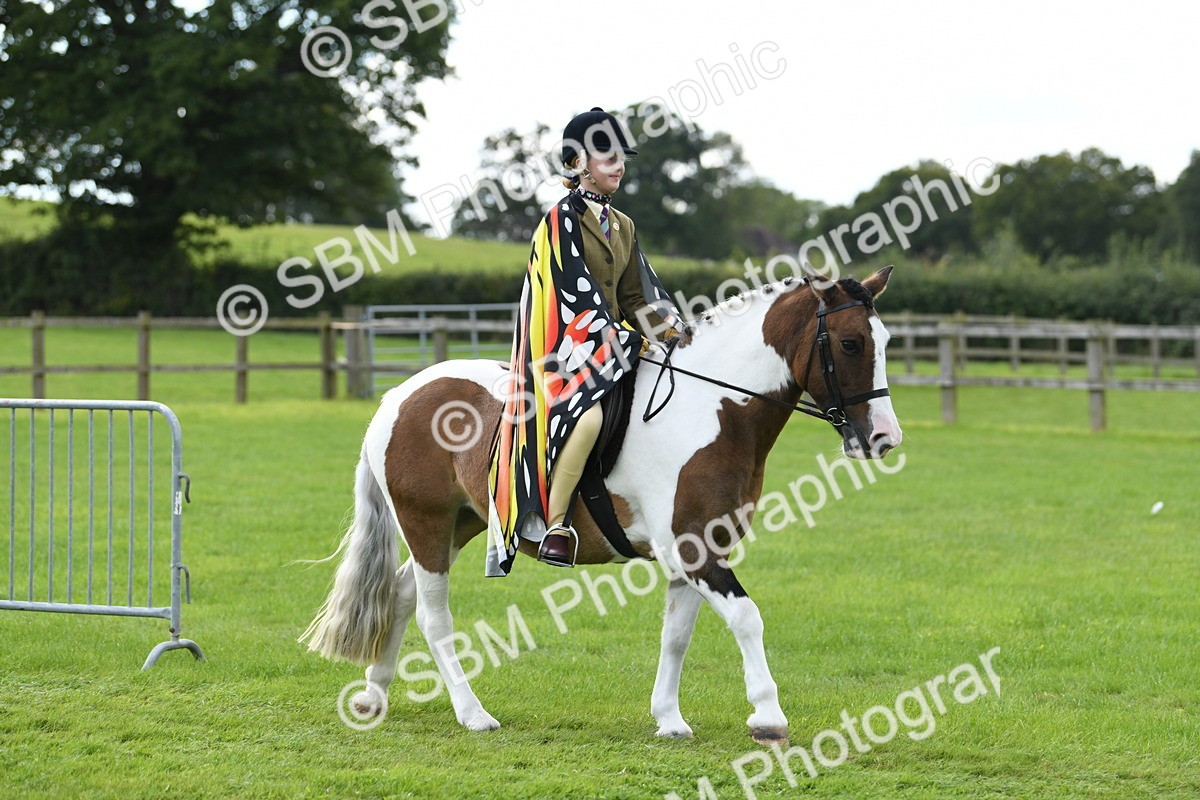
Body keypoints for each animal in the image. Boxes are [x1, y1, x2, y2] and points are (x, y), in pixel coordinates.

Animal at [301, 266, 902, 746]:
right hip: (425, 523)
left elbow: (677, 634)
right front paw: (768, 717)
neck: (714, 410)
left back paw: (373, 695)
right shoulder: (695, 550)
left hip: (461, 524)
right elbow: (746, 618)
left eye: (885, 340)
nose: (884, 439)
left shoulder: (697, 551)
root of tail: (399, 395)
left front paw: (669, 719)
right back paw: (472, 714)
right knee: (432, 614)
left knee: (400, 595)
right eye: (851, 344)